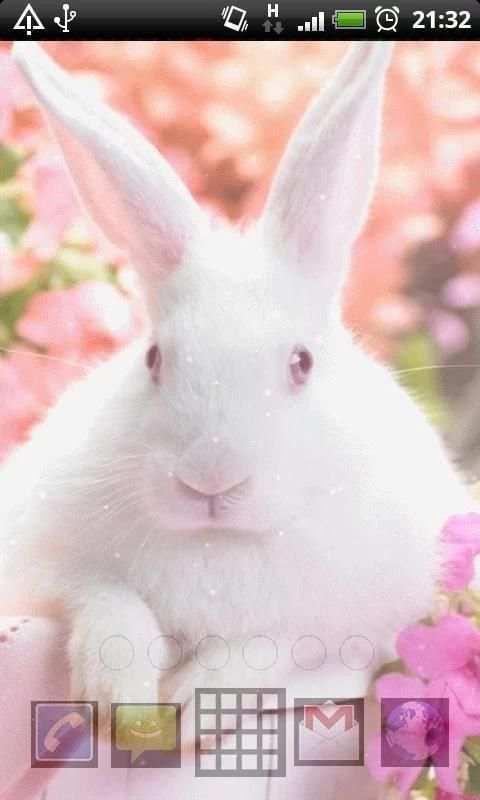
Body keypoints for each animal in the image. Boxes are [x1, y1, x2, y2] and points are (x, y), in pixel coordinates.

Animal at [0, 41, 472, 795]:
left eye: (302, 363)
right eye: (155, 359)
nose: (209, 478)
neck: (218, 544)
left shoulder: (360, 617)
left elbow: (276, 643)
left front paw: (199, 702)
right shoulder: (37, 566)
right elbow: (101, 597)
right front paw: (117, 686)